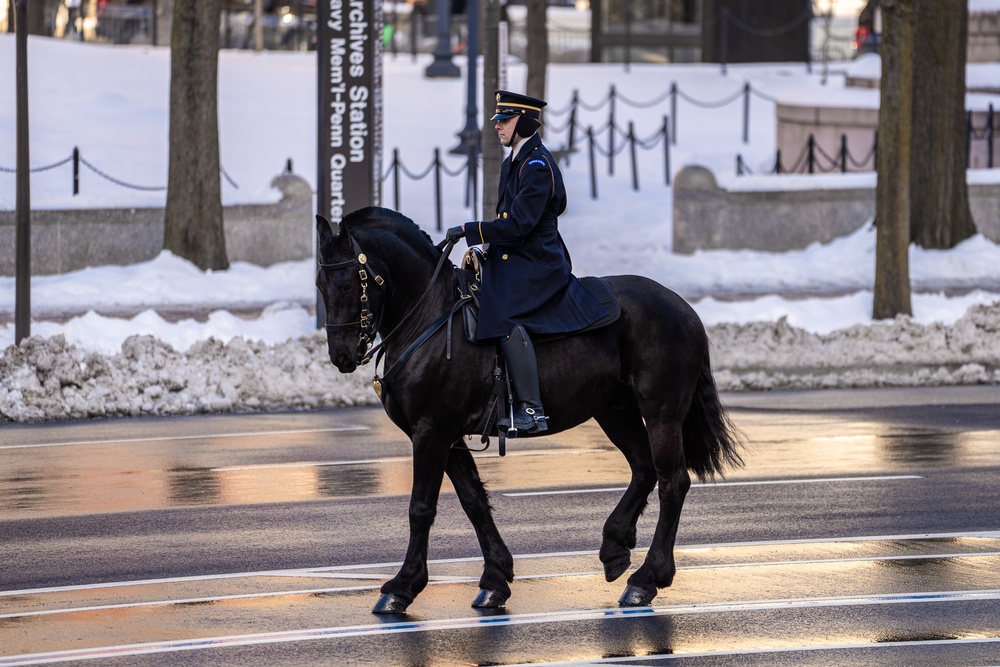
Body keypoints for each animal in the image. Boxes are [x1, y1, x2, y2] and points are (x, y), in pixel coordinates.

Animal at [314, 209, 744, 616]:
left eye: (350, 282)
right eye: (320, 284)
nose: (342, 356)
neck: (430, 318)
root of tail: (683, 306)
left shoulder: (431, 431)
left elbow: (421, 507)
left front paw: (402, 587)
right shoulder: (448, 435)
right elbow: (473, 501)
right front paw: (495, 579)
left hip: (661, 413)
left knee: (673, 482)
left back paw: (648, 577)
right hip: (614, 410)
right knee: (644, 469)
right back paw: (615, 546)